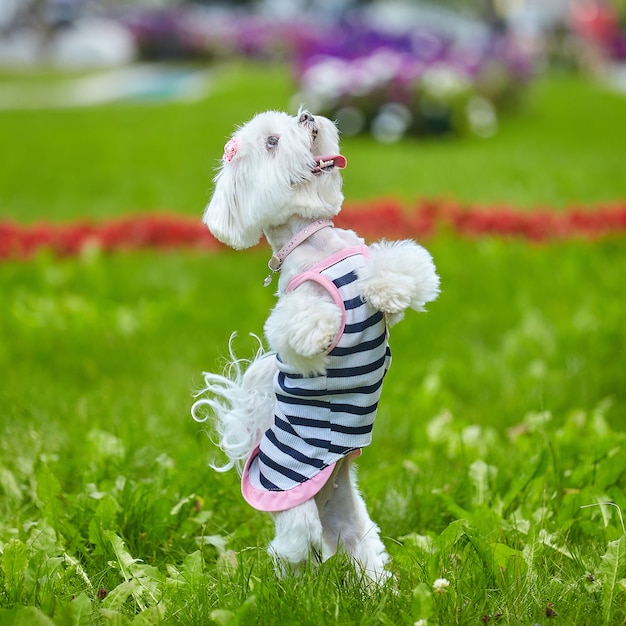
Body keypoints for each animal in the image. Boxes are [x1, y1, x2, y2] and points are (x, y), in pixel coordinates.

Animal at [191, 109, 438, 584]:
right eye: (272, 142)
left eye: (290, 119)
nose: (306, 116)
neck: (316, 243)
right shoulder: (295, 310)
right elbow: (302, 324)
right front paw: (325, 331)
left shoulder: (369, 262)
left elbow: (398, 270)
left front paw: (389, 290)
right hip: (294, 507)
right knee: (293, 545)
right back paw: (290, 580)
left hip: (351, 518)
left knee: (358, 547)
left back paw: (379, 589)